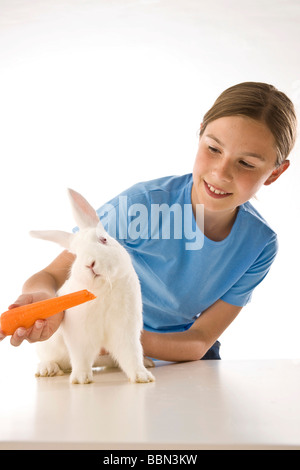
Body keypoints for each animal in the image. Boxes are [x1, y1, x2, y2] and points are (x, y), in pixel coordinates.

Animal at [30, 189, 155, 384]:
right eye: (75, 254)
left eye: (103, 239)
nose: (90, 264)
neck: (103, 289)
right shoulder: (79, 335)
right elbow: (81, 357)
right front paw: (81, 379)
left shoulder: (126, 330)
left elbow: (132, 354)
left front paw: (142, 376)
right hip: (48, 347)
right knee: (49, 360)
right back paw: (48, 369)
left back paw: (147, 362)